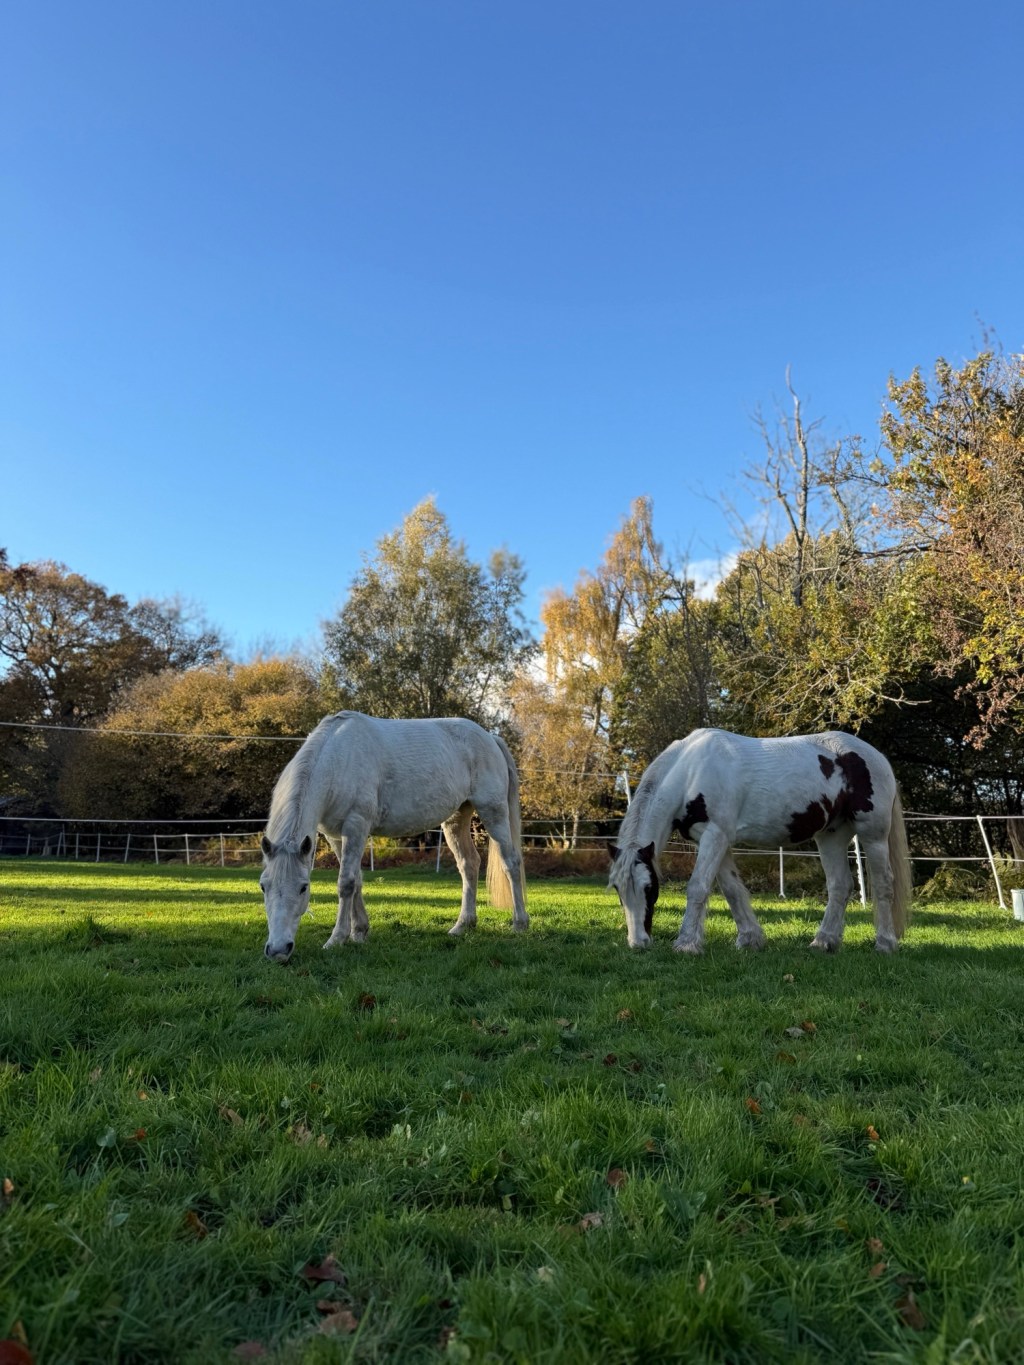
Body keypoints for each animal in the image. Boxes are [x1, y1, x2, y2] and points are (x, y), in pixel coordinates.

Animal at [260, 711, 528, 962]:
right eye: (263, 886)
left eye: (303, 887)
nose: (278, 950)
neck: (338, 760)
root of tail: (490, 738)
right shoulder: (335, 836)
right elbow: (356, 880)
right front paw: (359, 932)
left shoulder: (356, 825)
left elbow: (345, 883)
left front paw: (337, 939)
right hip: (457, 818)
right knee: (469, 865)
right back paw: (463, 925)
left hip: (493, 811)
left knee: (511, 863)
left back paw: (520, 924)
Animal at [608, 728, 911, 955]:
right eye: (618, 890)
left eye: (649, 888)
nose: (638, 943)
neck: (692, 771)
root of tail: (876, 756)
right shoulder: (711, 840)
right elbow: (731, 890)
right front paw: (750, 938)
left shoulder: (715, 836)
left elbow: (698, 887)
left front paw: (686, 944)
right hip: (831, 835)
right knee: (840, 886)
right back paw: (823, 941)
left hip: (873, 835)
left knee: (883, 884)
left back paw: (885, 944)